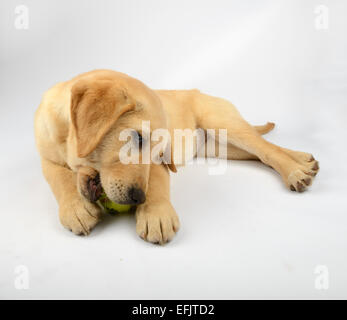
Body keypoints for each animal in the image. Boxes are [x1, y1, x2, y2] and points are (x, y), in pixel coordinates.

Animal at [35, 70, 320, 244]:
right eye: (138, 139)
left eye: (159, 152)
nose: (138, 198)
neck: (65, 137)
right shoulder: (45, 158)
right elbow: (58, 177)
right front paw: (75, 208)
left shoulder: (161, 166)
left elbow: (157, 182)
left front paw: (156, 214)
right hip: (221, 147)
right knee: (260, 153)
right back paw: (303, 159)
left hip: (224, 123)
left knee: (266, 148)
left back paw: (297, 171)